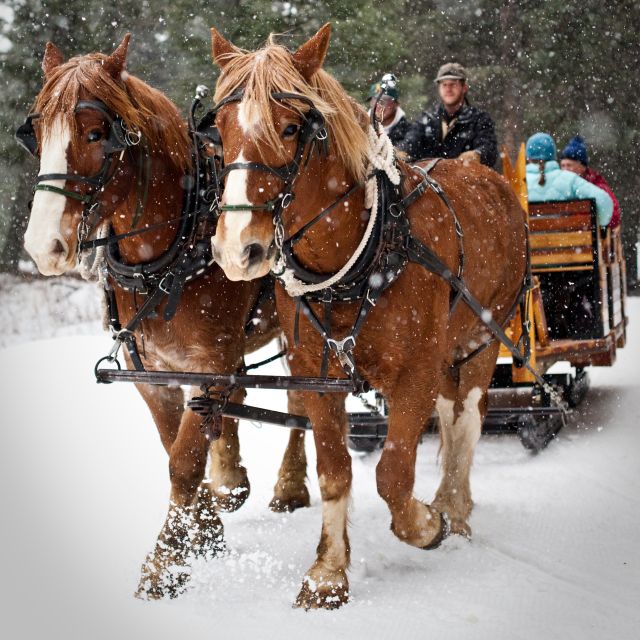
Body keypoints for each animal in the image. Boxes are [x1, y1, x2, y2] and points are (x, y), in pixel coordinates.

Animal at [25, 33, 312, 596]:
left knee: (300, 401)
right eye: (38, 131)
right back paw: (231, 479)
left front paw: (165, 563)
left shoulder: (208, 362)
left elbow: (183, 461)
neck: (170, 253)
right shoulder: (152, 372)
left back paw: (288, 485)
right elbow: (172, 444)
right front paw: (206, 529)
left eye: (97, 134)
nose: (42, 245)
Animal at [208, 22, 528, 608]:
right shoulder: (318, 375)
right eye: (219, 131)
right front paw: (328, 573)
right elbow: (335, 471)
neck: (364, 252)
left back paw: (454, 507)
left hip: (481, 337)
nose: (238, 249)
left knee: (467, 419)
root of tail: (486, 176)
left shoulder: (416, 371)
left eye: (292, 128)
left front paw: (426, 524)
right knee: (450, 417)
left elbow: (393, 474)